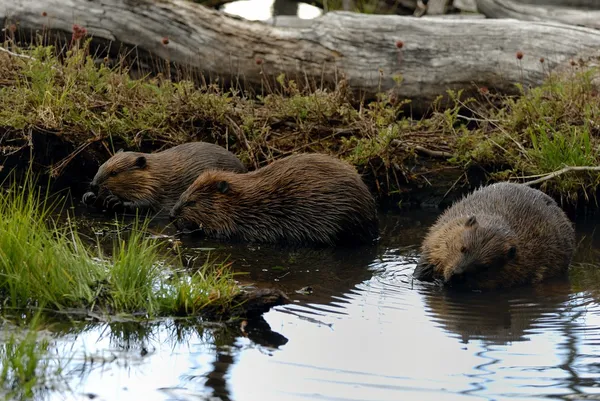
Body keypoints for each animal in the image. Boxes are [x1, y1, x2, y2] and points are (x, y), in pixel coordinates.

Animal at [82, 142, 246, 214]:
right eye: (101, 166)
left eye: (114, 173)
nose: (94, 185)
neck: (156, 173)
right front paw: (88, 196)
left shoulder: (154, 188)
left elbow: (145, 204)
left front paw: (114, 200)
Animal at [166, 152, 378, 245]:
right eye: (184, 195)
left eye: (192, 202)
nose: (171, 215)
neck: (243, 202)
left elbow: (222, 232)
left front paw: (187, 230)